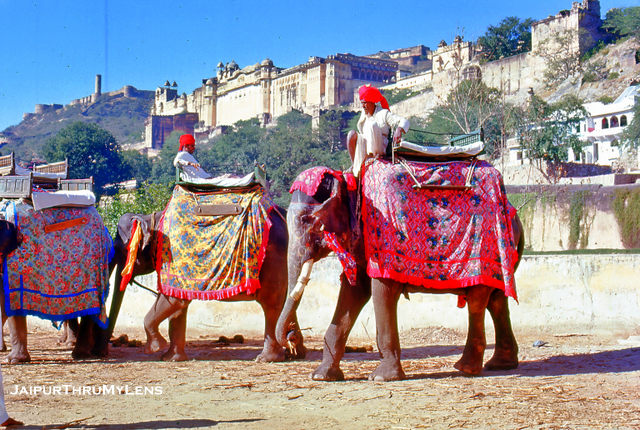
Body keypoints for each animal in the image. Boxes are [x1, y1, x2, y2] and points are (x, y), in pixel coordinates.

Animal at [84, 207, 307, 362]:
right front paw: (170, 358)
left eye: (119, 250)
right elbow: (178, 306)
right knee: (285, 303)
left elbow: (172, 301)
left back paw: (266, 359)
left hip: (273, 263)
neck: (152, 217)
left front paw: (155, 348)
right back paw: (295, 352)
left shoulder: (173, 257)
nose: (102, 352)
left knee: (271, 306)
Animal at [276, 166, 523, 381]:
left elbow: (381, 290)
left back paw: (467, 368)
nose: (291, 336)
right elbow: (354, 291)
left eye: (306, 220)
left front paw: (381, 378)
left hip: (487, 248)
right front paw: (321, 376)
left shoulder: (382, 237)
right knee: (496, 301)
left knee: (477, 300)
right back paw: (500, 365)